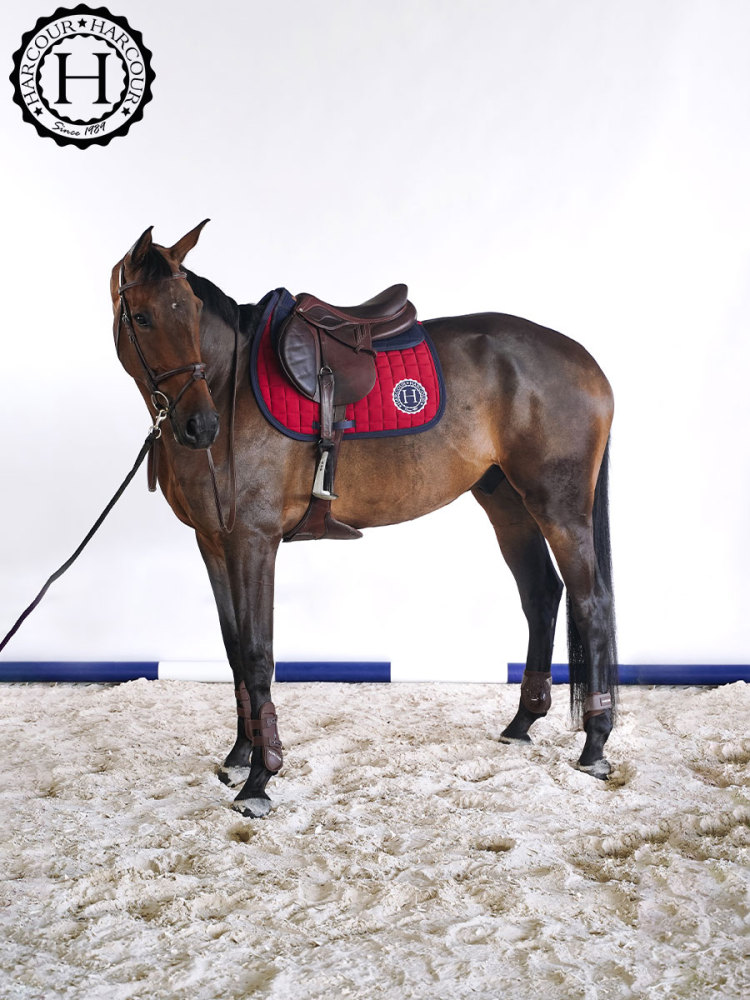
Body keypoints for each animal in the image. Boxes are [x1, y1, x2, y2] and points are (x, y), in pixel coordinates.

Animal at [111, 221, 618, 818]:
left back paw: (596, 744)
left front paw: (260, 777)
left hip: (559, 505)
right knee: (541, 594)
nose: (200, 425)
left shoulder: (253, 542)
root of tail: (583, 358)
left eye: (189, 310)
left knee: (591, 602)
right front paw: (239, 754)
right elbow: (234, 648)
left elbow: (258, 654)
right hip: (506, 503)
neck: (228, 386)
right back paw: (522, 723)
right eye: (144, 317)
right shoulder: (214, 542)